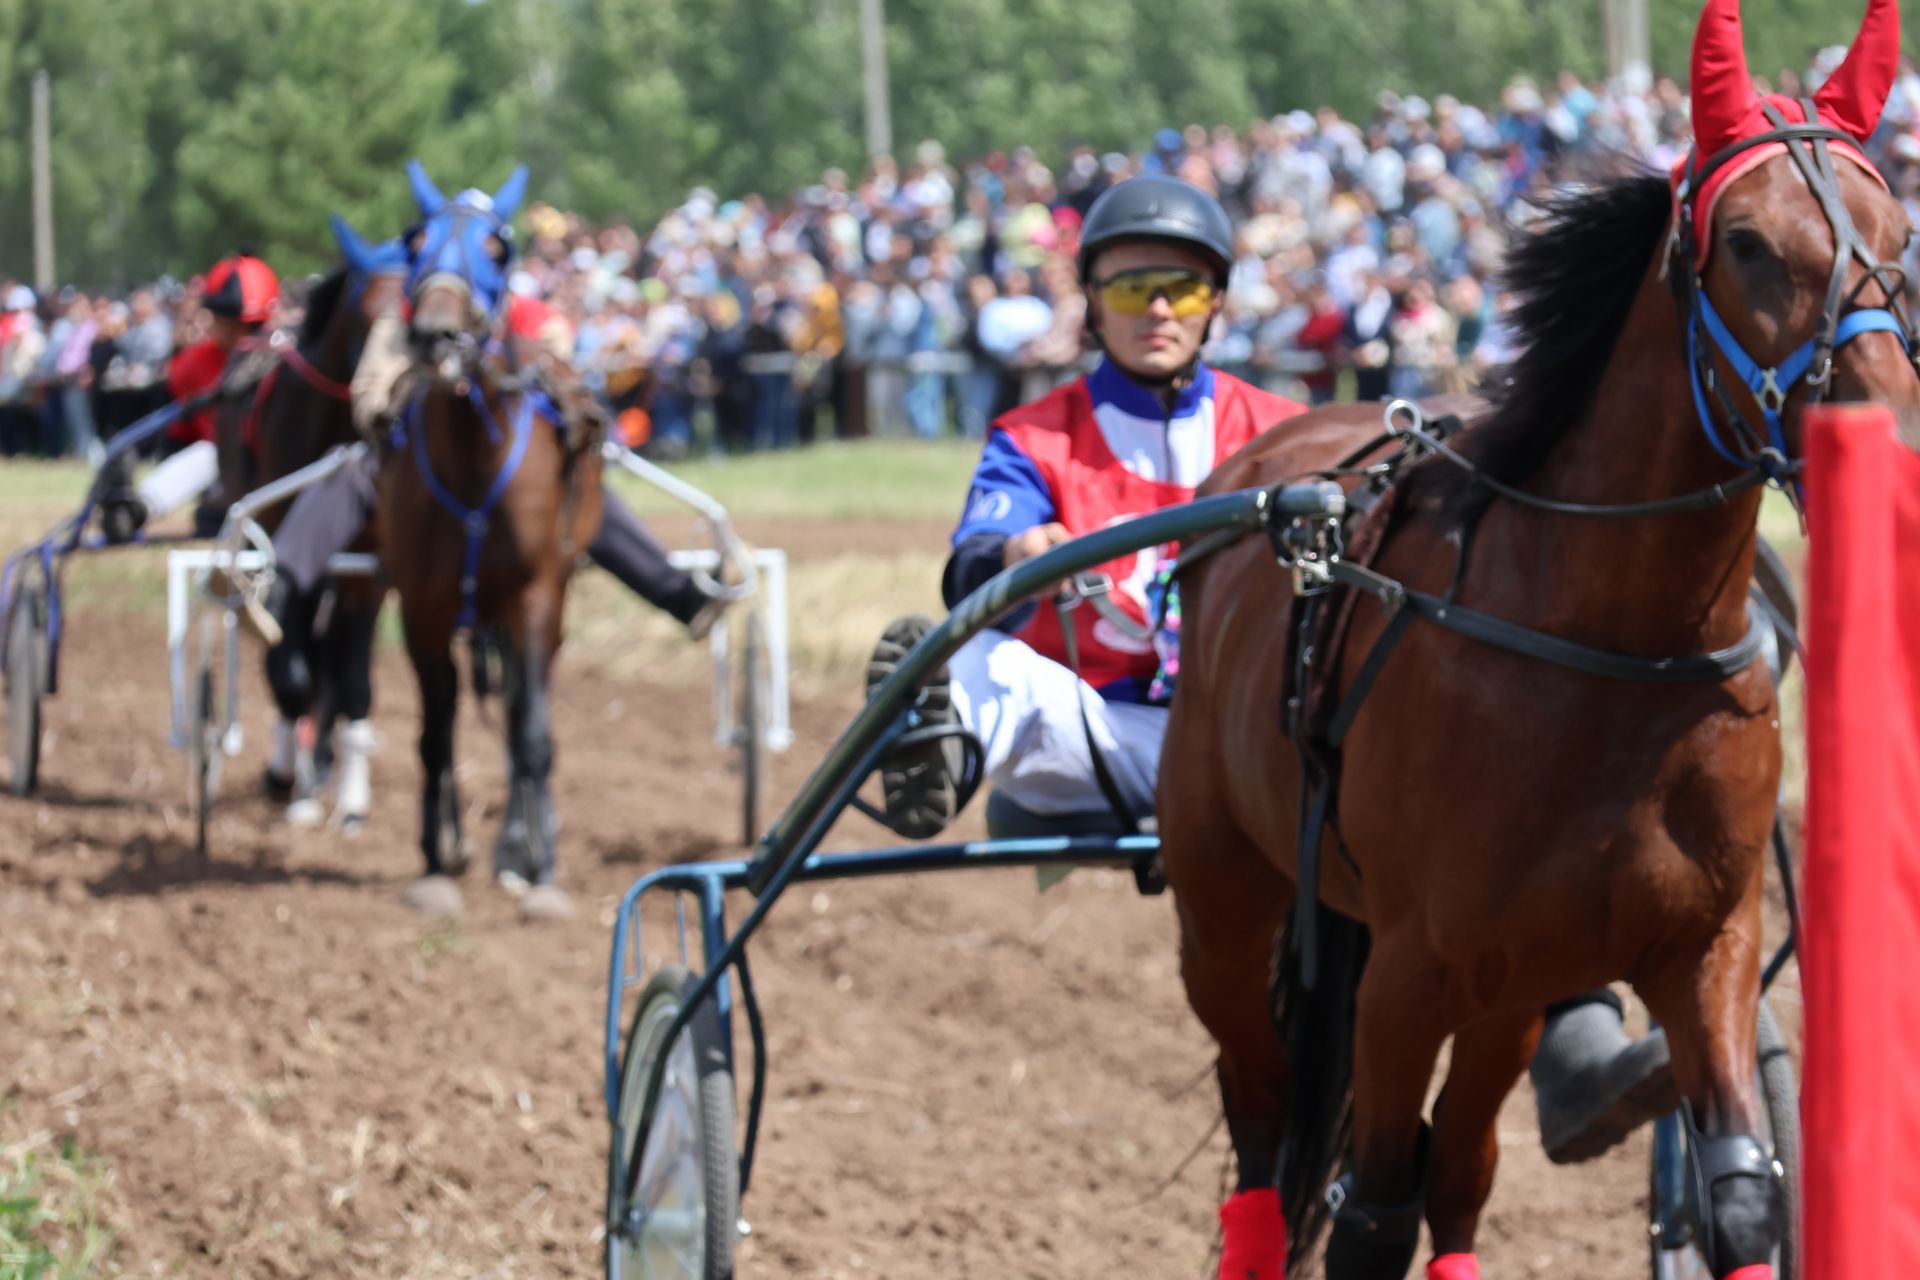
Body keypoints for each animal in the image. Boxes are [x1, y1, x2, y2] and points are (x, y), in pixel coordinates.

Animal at [378, 165, 602, 917]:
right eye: (414, 241)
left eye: (498, 247)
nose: (437, 335)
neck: (475, 461)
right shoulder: (423, 605)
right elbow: (435, 728)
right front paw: (438, 852)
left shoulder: (534, 596)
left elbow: (529, 732)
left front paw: (542, 867)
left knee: (521, 714)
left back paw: (522, 843)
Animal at [1152, 2, 1920, 1280]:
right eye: (1750, 244)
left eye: (1897, 231)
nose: (1891, 439)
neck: (1613, 646)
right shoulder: (1408, 974)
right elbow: (1372, 1214)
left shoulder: (1703, 945)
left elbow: (1740, 1195)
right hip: (1226, 908)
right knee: (1267, 1133)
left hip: (1509, 986)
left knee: (1461, 1168)